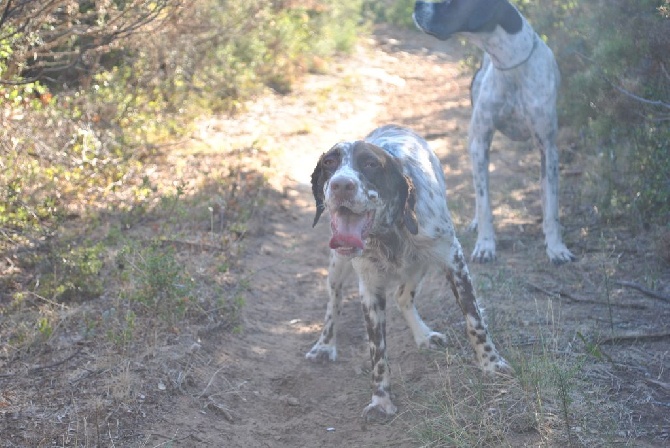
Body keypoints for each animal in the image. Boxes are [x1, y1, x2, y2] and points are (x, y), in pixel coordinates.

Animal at [308, 125, 510, 420]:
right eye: (329, 163)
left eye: (370, 164)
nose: (341, 185)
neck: (390, 232)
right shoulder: (370, 288)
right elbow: (377, 352)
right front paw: (381, 400)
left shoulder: (453, 259)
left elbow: (475, 321)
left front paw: (491, 364)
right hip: (338, 264)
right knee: (334, 301)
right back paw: (325, 345)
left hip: (420, 264)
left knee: (403, 297)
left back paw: (423, 335)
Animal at [414, 0, 576, 264]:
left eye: (448, 3)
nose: (417, 5)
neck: (511, 66)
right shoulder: (480, 143)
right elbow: (484, 203)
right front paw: (485, 244)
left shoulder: (548, 149)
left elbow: (552, 204)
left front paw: (556, 247)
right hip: (473, 137)